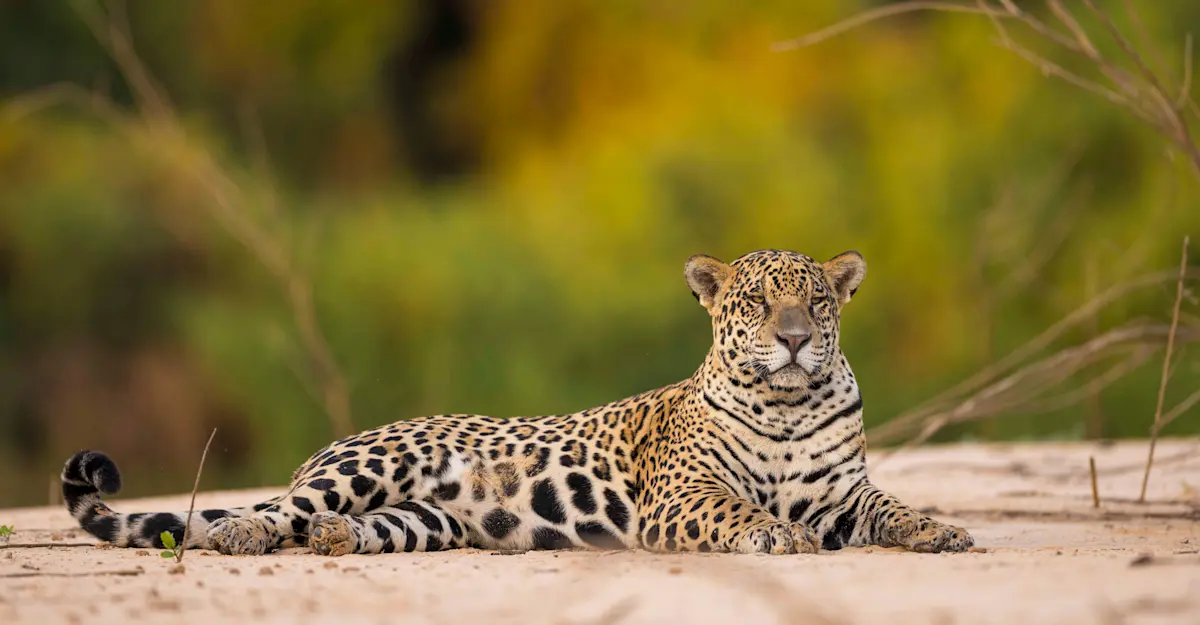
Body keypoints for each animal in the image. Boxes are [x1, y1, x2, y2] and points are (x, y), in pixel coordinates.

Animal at [61, 248, 974, 556]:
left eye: (815, 300)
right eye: (756, 301)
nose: (792, 339)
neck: (786, 404)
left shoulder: (844, 492)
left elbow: (892, 506)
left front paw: (941, 528)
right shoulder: (685, 494)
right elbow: (740, 509)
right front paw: (775, 534)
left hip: (426, 517)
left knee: (358, 525)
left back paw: (333, 539)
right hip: (367, 464)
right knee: (270, 510)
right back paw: (248, 534)